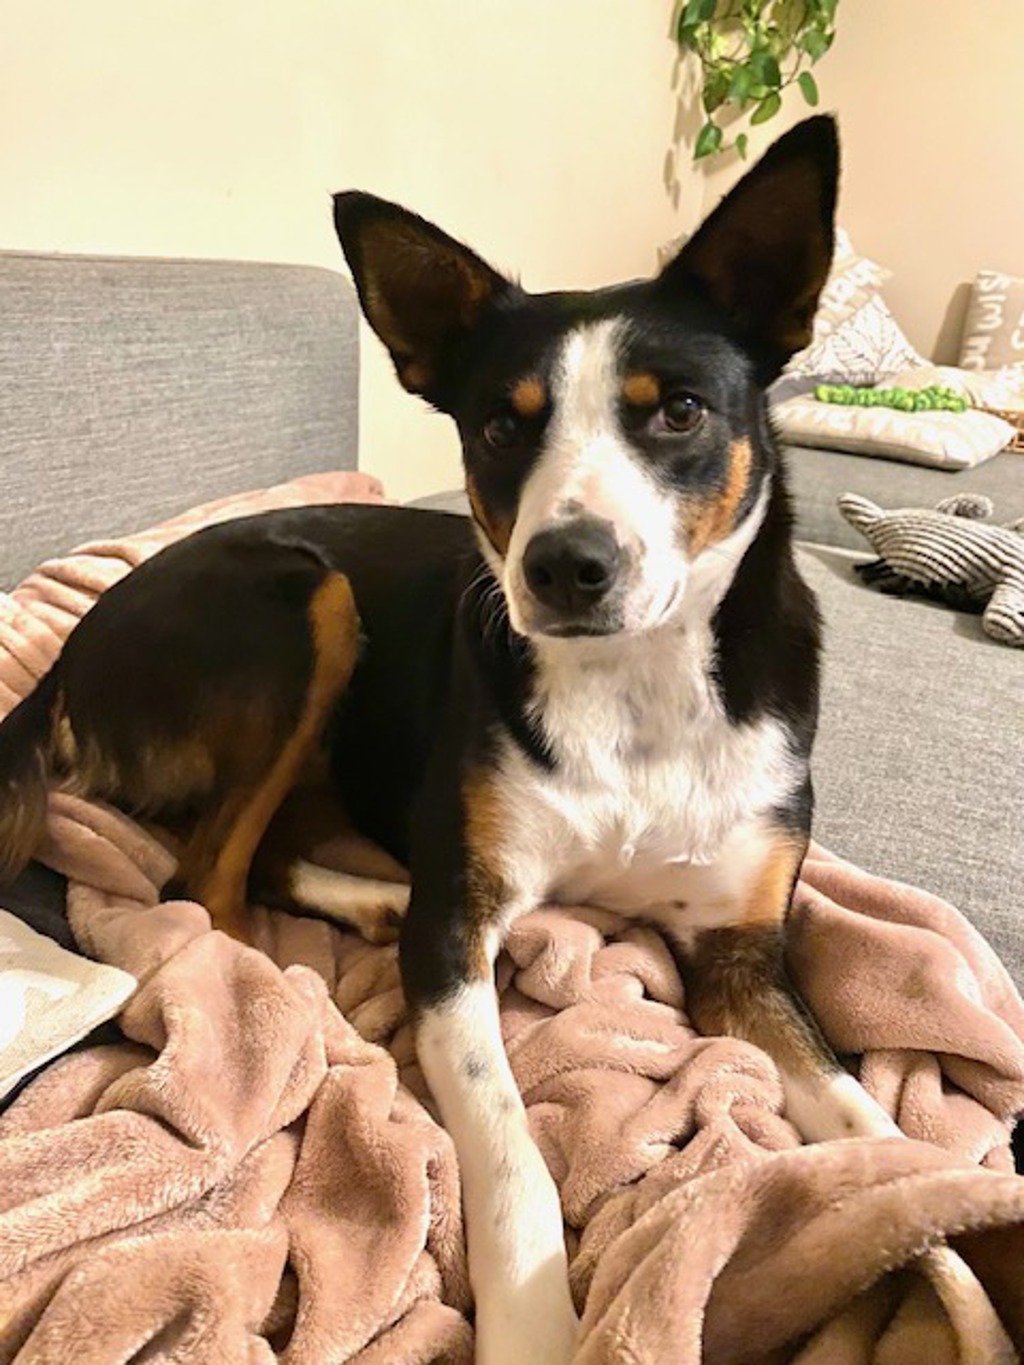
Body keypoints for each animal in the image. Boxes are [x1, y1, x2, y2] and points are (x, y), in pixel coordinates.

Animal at [0, 116, 899, 1362]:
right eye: (499, 424)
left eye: (676, 410)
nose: (566, 566)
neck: (633, 690)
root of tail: (73, 646)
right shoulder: (463, 932)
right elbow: (512, 1144)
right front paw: (534, 1321)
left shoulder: (740, 956)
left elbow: (867, 1120)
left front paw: (939, 1205)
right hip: (306, 600)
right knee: (208, 883)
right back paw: (315, 990)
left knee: (262, 853)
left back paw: (369, 903)